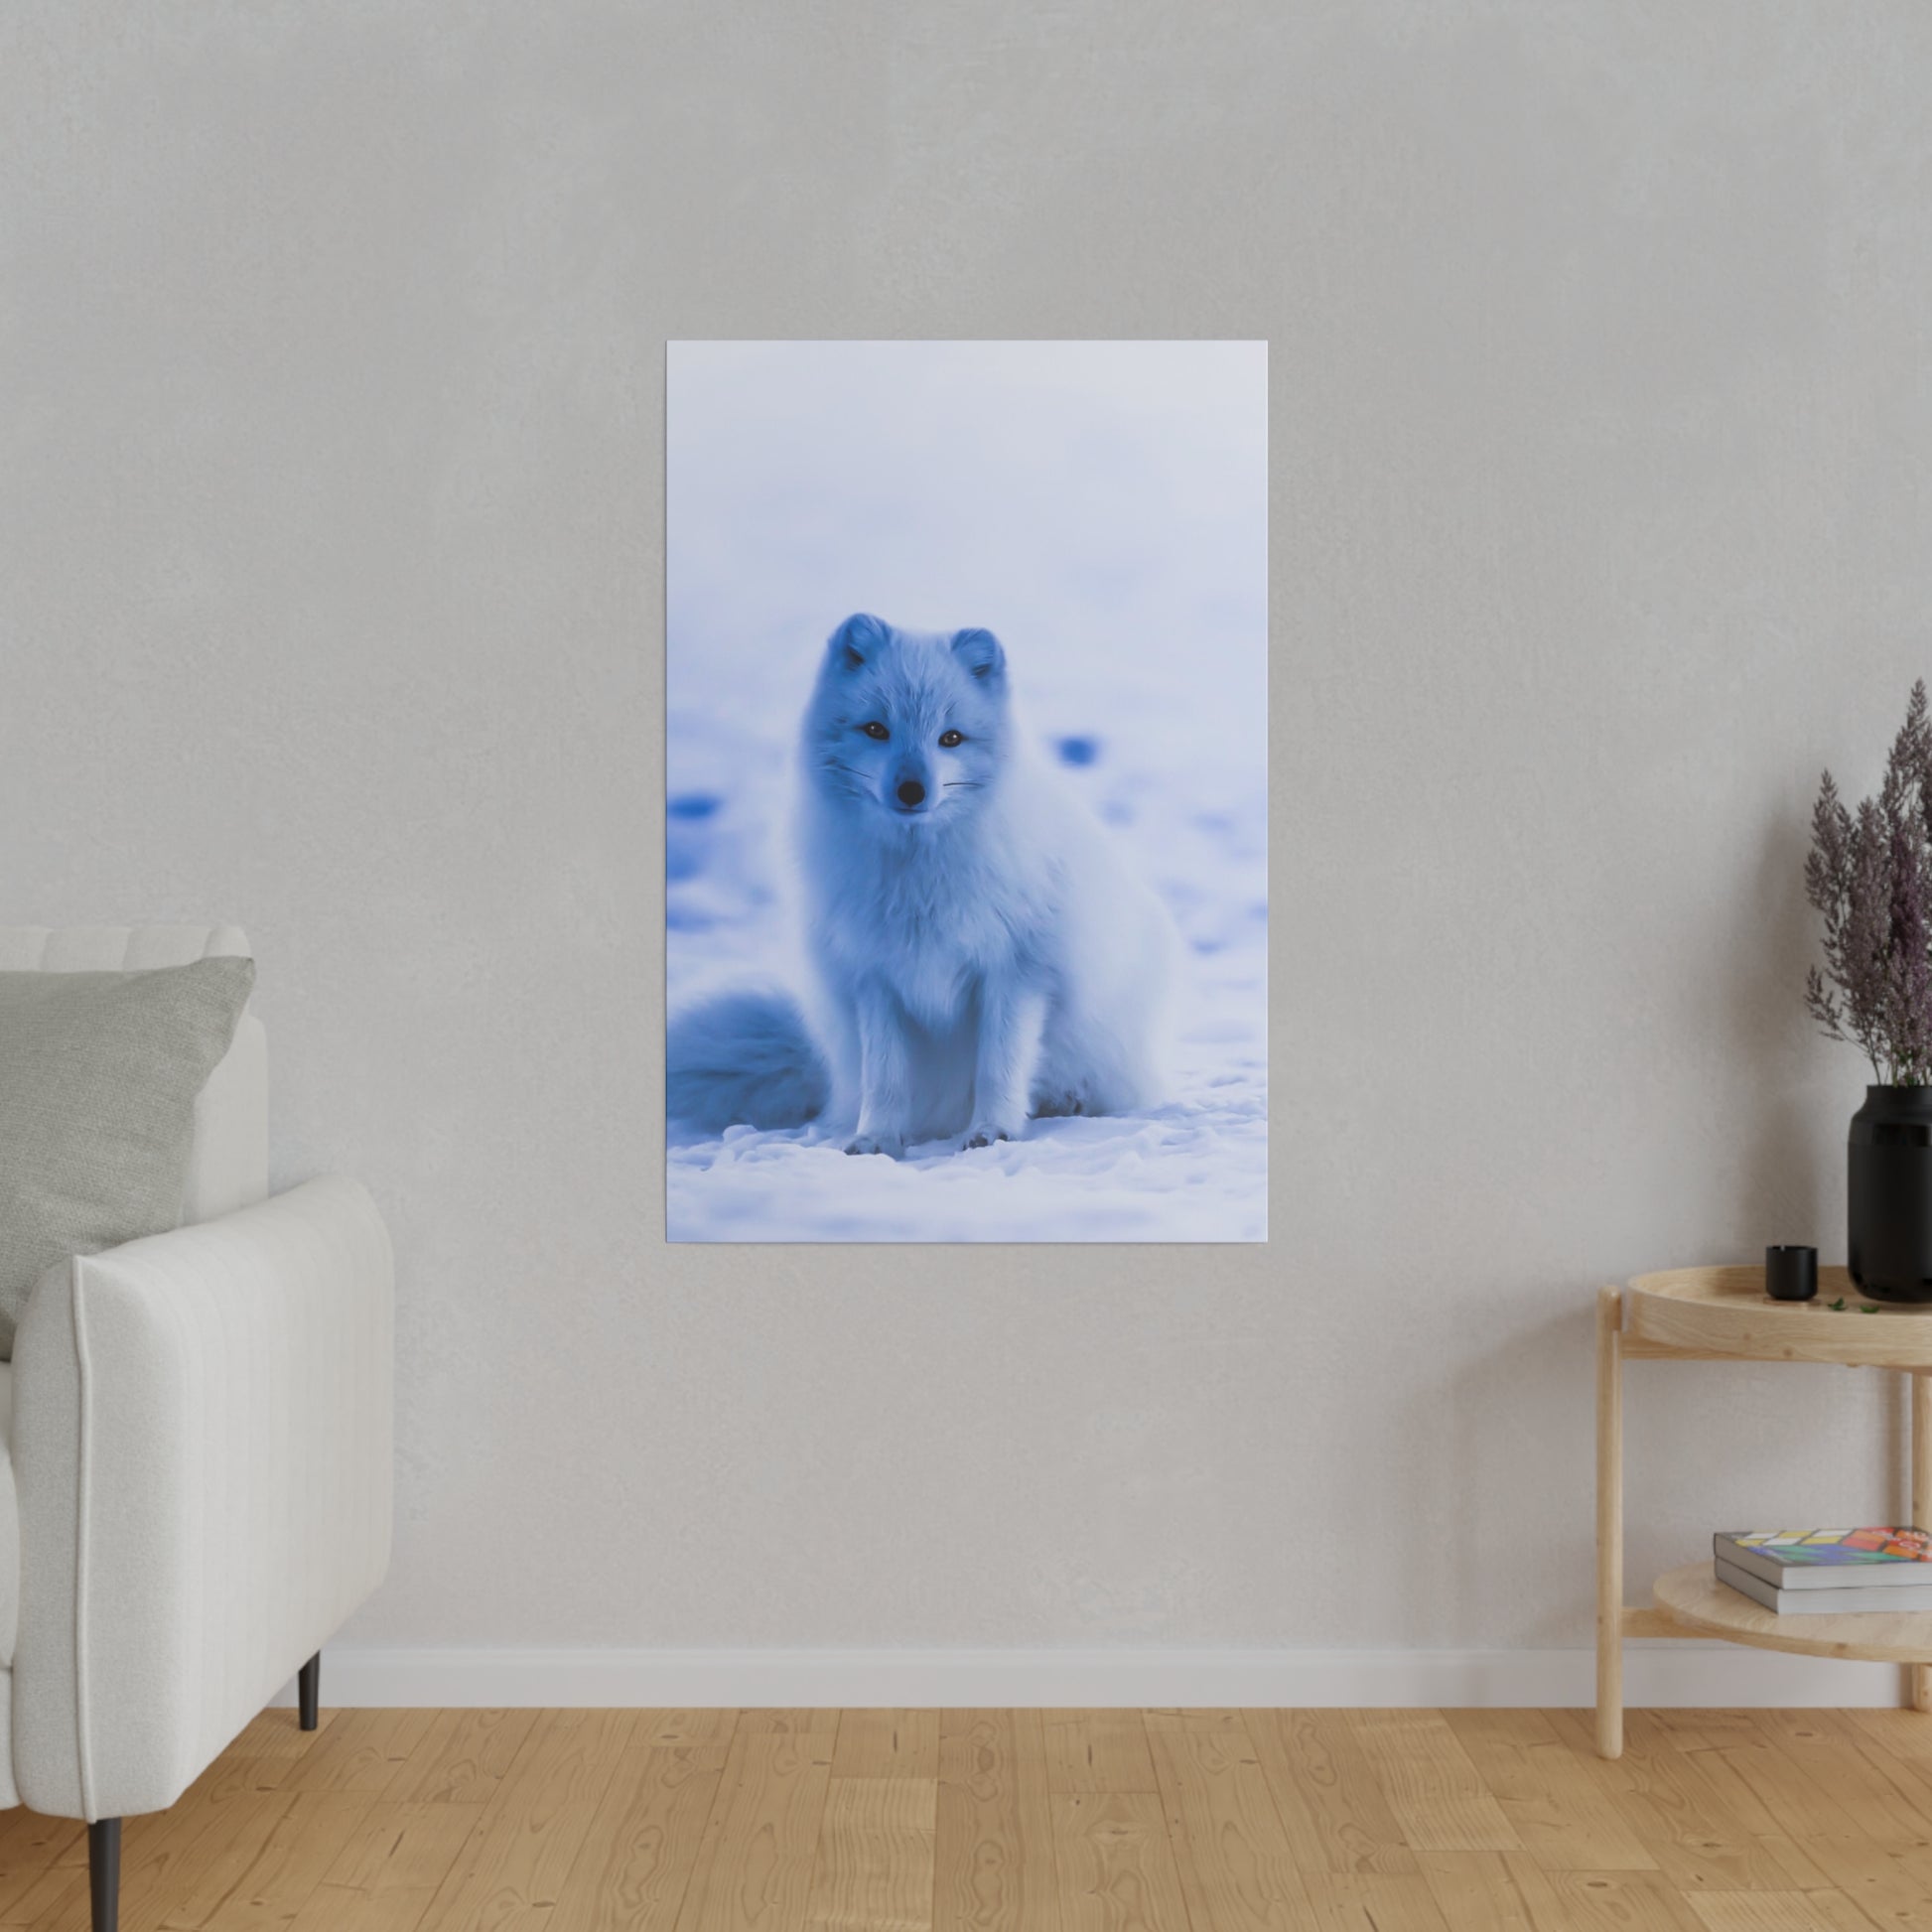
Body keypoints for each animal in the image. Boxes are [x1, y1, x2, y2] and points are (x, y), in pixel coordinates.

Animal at [664, 610, 1174, 1151]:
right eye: (875, 729)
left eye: (950, 738)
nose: (912, 789)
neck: (919, 878)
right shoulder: (874, 977)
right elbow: (885, 1076)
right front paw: (877, 1138)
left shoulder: (1017, 972)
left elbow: (999, 1066)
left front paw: (992, 1130)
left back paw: (1066, 1101)